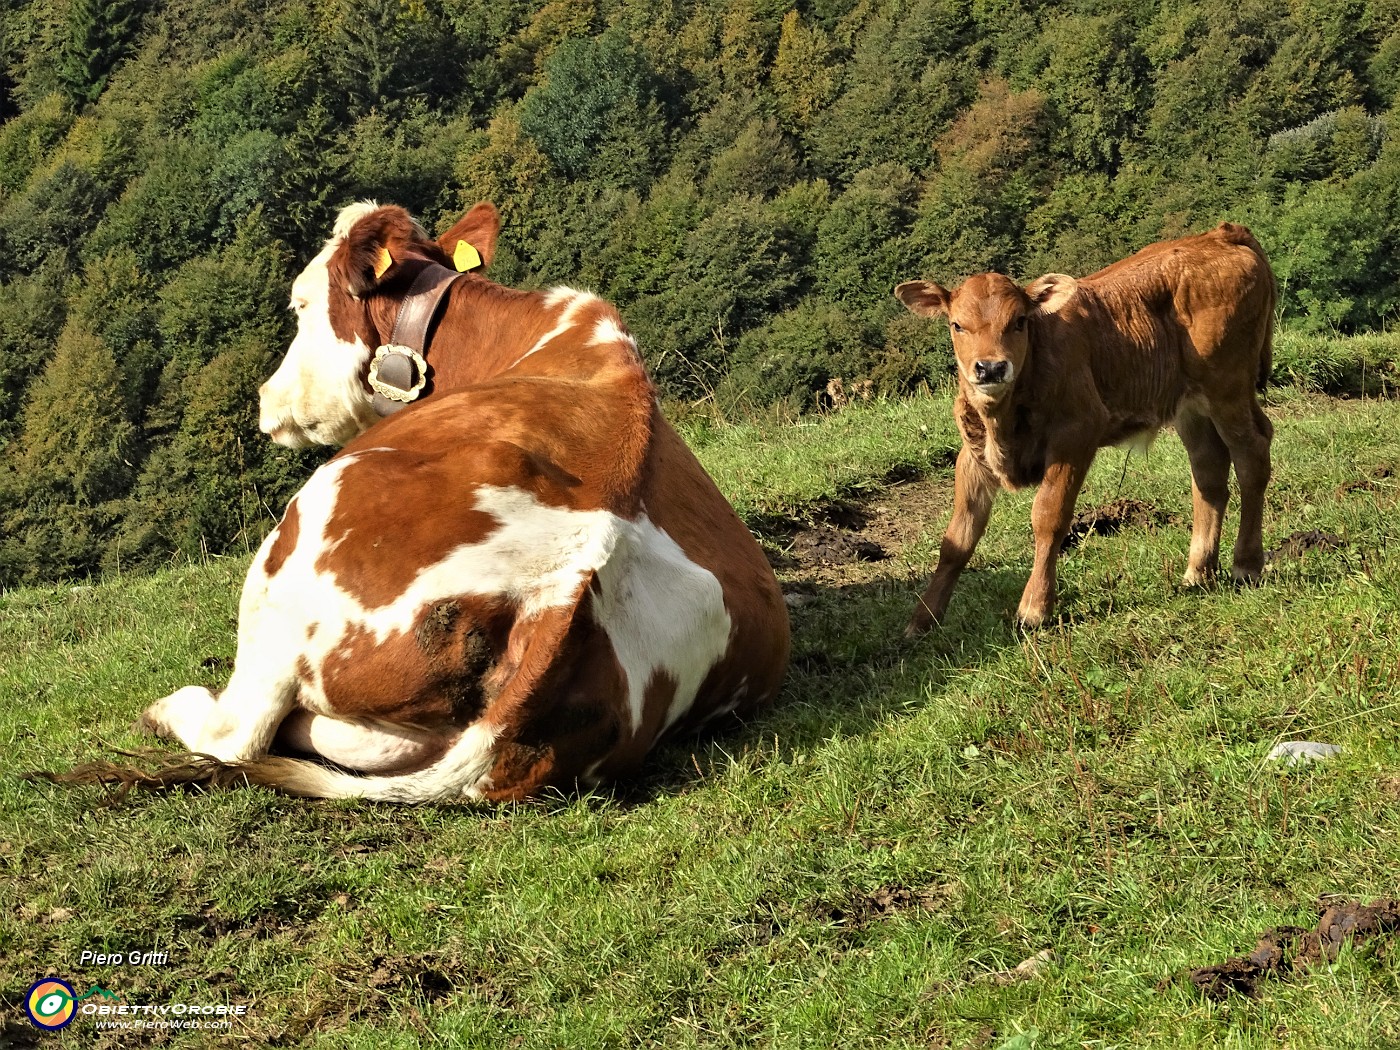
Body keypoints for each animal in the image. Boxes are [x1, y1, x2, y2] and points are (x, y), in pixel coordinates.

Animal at [136, 201, 795, 800]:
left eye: (299, 304)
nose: (265, 398)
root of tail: (566, 595)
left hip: (297, 545)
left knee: (237, 734)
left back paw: (172, 709)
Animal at [896, 224, 1282, 632]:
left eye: (1019, 321)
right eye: (957, 325)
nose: (990, 367)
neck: (1004, 421)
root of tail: (1220, 234)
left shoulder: (1077, 434)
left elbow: (1048, 517)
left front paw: (1035, 607)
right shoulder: (973, 454)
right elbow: (957, 538)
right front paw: (922, 619)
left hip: (1228, 385)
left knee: (1252, 453)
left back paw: (1246, 564)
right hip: (1190, 404)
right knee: (1209, 469)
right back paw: (1199, 570)